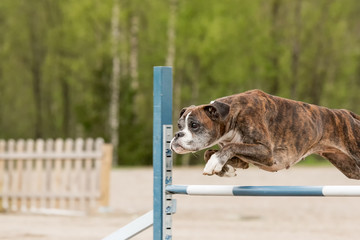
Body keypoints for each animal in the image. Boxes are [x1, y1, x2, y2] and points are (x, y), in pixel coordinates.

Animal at [170, 89, 360, 178]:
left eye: (194, 125)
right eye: (179, 125)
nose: (177, 135)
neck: (233, 113)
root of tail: (347, 114)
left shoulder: (266, 152)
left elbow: (230, 146)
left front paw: (215, 163)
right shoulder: (243, 158)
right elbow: (211, 152)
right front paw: (226, 169)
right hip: (350, 169)